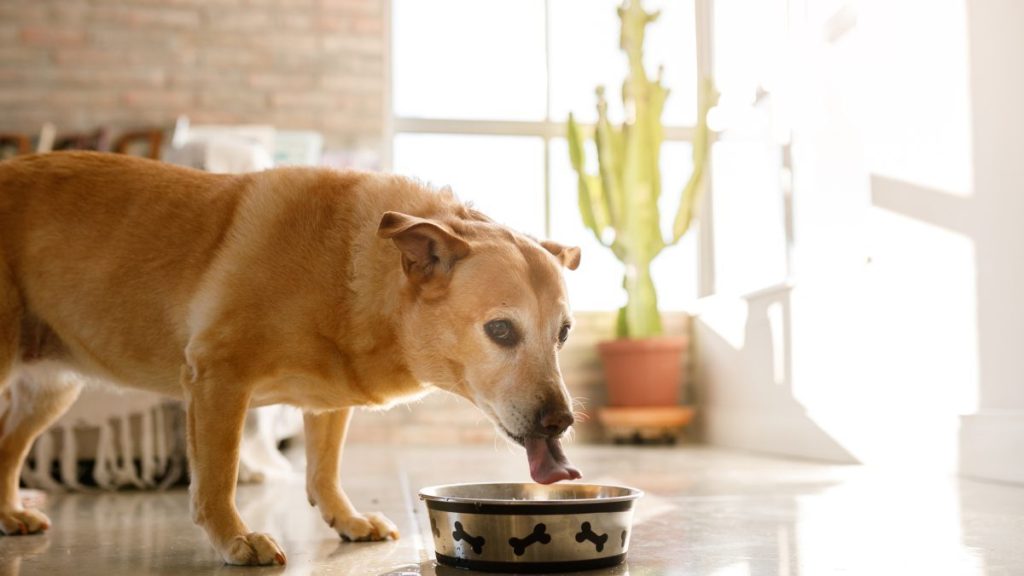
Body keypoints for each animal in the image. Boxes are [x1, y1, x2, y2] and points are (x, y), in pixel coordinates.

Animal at [0, 150, 581, 561]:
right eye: (501, 330)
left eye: (564, 334)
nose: (562, 422)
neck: (350, 267)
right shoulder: (217, 379)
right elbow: (218, 478)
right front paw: (234, 539)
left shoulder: (327, 403)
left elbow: (323, 472)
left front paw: (348, 520)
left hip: (49, 392)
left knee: (7, 448)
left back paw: (10, 512)